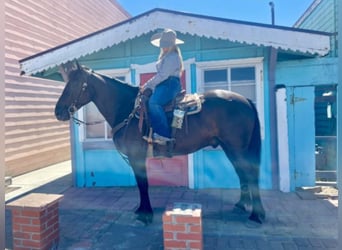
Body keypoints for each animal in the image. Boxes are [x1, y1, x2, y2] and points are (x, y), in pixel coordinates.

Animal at [54, 63, 266, 224]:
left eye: (74, 84)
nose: (58, 111)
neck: (127, 109)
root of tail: (245, 100)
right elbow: (142, 183)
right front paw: (142, 210)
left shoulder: (137, 156)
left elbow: (143, 183)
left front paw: (145, 214)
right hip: (230, 148)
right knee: (242, 174)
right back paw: (241, 205)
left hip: (237, 148)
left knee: (250, 175)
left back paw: (256, 215)